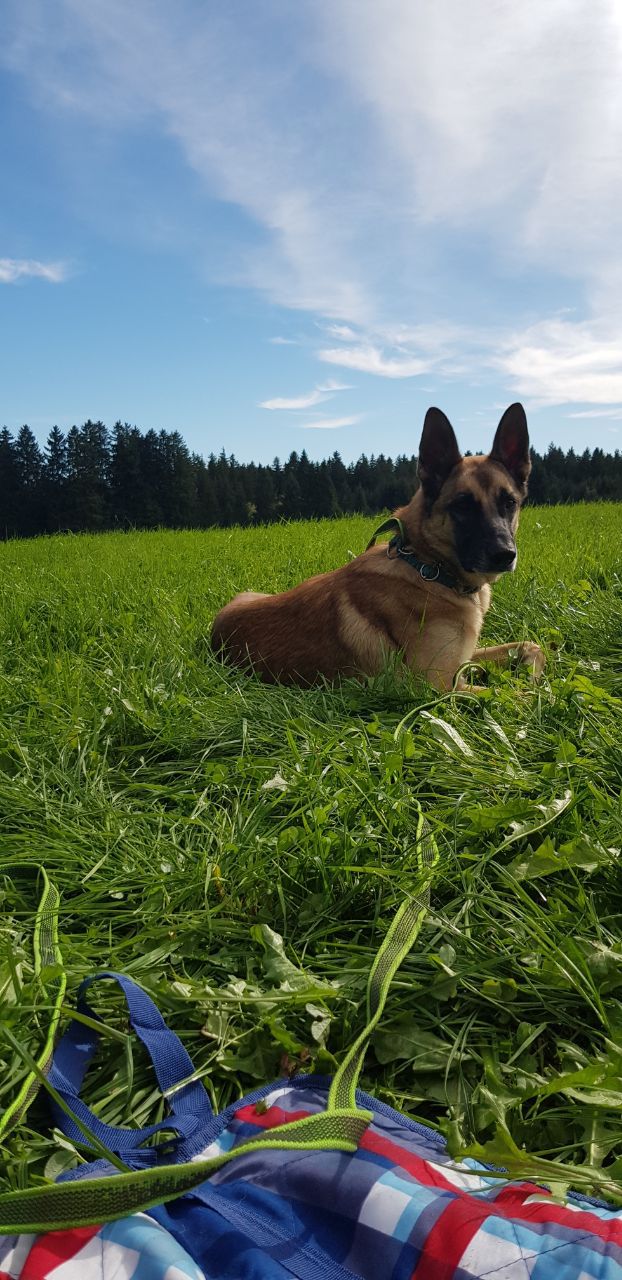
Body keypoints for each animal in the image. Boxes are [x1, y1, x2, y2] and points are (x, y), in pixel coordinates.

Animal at [211, 403, 545, 692]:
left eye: (509, 502)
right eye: (462, 506)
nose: (505, 555)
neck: (429, 567)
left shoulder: (464, 659)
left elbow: (532, 645)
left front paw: (531, 671)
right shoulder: (440, 685)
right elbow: (518, 695)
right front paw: (538, 690)